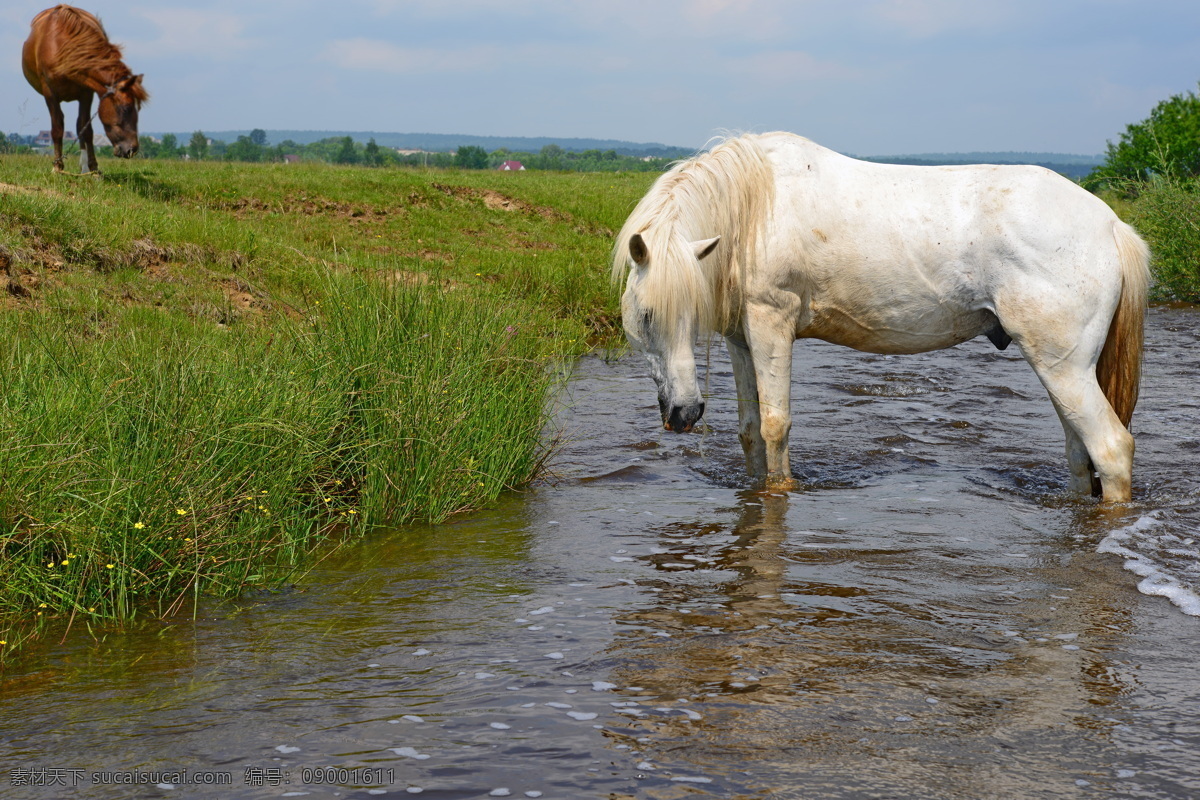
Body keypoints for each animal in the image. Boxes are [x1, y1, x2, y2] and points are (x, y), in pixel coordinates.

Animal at [21, 5, 147, 175]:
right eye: (126, 108)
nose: (132, 149)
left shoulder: (86, 94)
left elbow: (86, 130)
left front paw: (93, 169)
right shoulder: (50, 95)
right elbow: (57, 128)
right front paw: (57, 167)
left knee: (80, 126)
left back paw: (84, 167)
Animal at [614, 134, 1147, 503]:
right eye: (647, 318)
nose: (684, 415)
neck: (754, 211)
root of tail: (1110, 224)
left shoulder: (772, 324)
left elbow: (774, 426)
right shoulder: (742, 339)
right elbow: (749, 430)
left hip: (1064, 367)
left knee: (1110, 448)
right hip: (1062, 369)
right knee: (1078, 452)